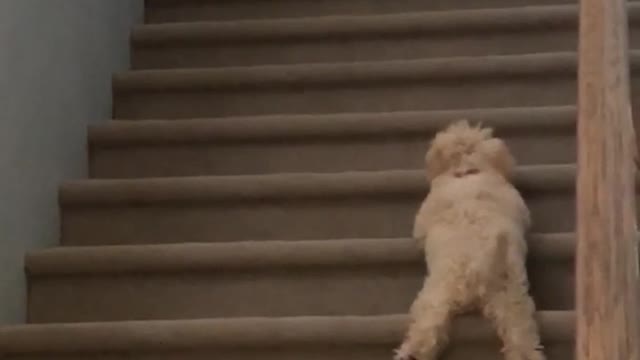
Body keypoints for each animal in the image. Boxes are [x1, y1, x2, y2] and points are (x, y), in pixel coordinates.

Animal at [396, 120, 544, 360]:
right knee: (520, 337)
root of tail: (476, 267)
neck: (466, 171)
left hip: (435, 295)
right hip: (511, 299)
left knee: (423, 332)